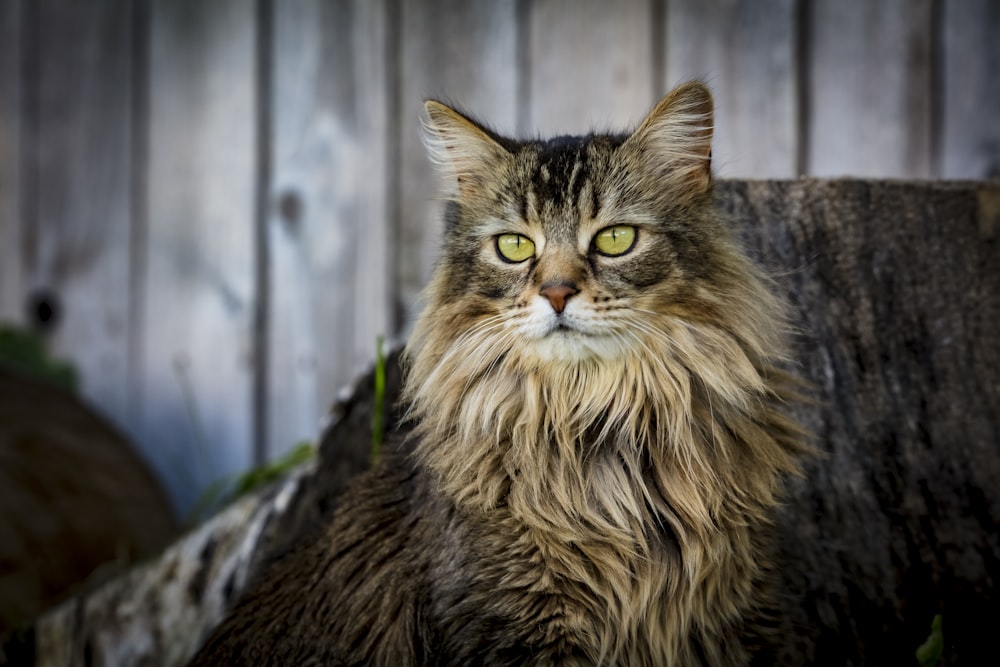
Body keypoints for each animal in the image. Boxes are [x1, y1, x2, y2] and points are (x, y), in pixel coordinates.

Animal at [189, 83, 812, 667]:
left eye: (615, 239)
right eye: (514, 246)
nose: (557, 293)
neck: (597, 431)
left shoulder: (739, 614)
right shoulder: (516, 628)